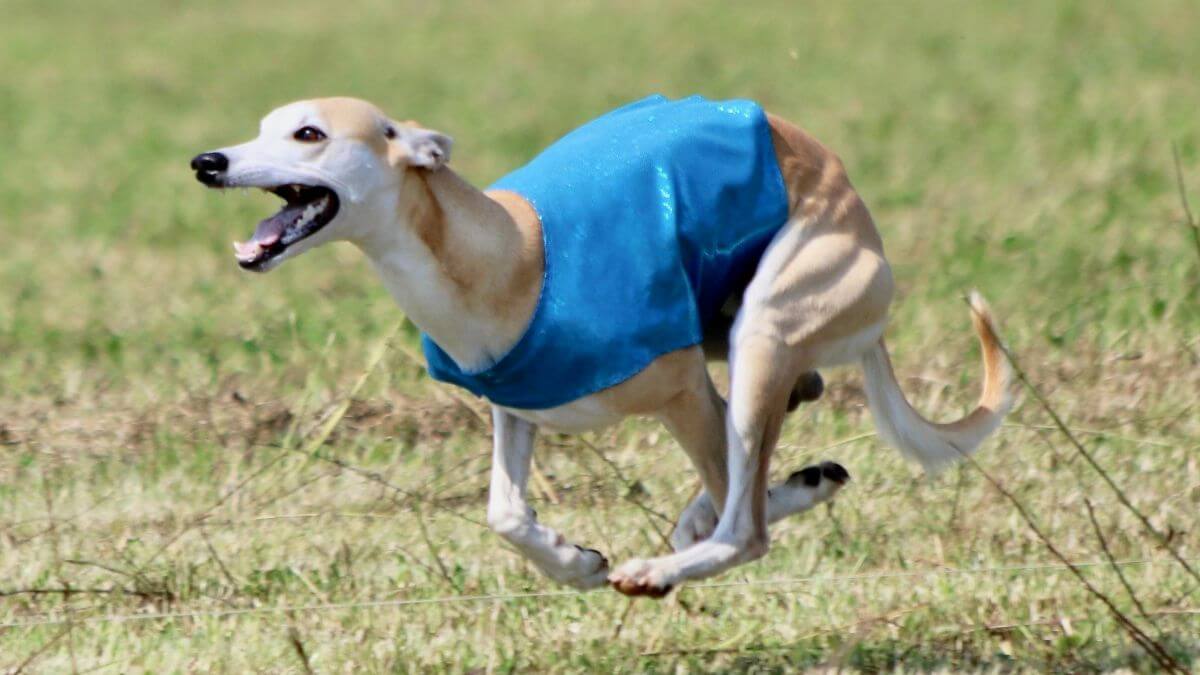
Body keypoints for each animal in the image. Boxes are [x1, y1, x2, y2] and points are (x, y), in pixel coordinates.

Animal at [189, 94, 1012, 593]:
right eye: (262, 126)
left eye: (310, 134)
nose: (207, 162)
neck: (505, 251)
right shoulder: (514, 405)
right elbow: (505, 514)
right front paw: (576, 562)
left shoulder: (681, 391)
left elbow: (737, 493)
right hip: (740, 334)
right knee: (786, 412)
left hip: (766, 327)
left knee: (744, 521)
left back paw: (676, 558)